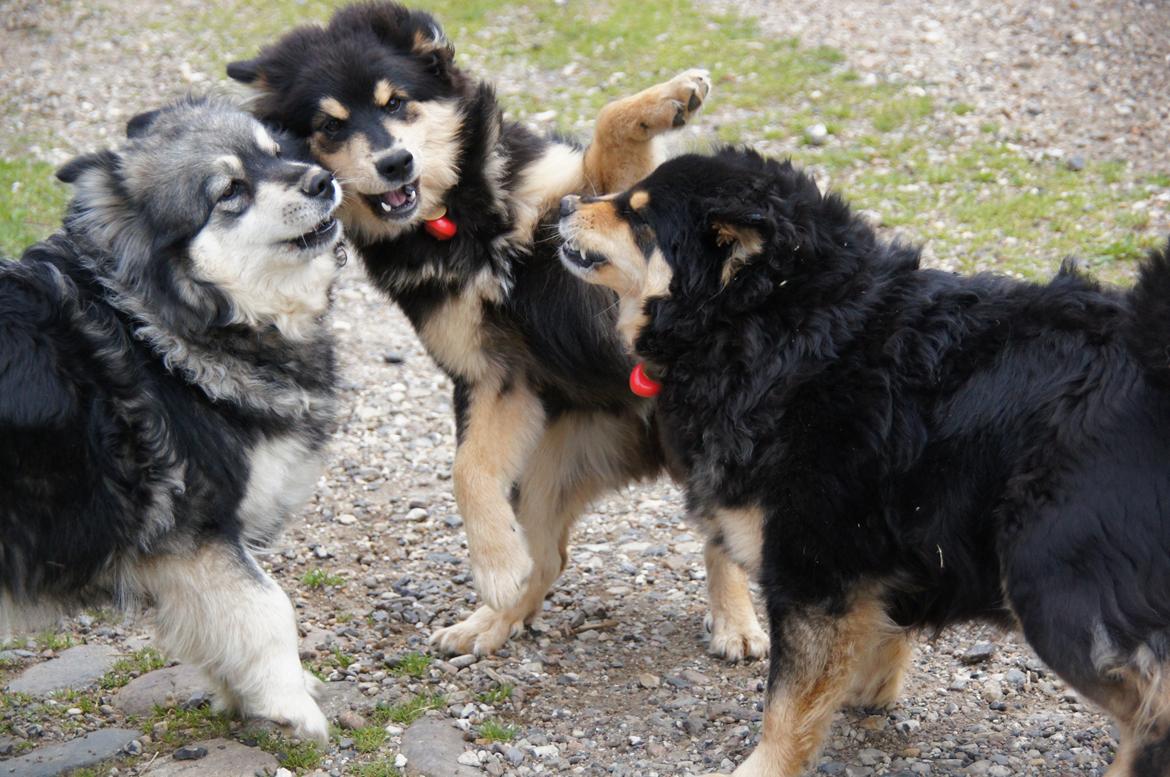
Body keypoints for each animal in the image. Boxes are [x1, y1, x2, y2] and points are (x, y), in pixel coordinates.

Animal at [225, 1, 767, 659]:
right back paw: (492, 619)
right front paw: (495, 568)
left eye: (396, 102)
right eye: (329, 126)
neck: (459, 221)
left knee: (722, 541)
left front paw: (673, 97)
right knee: (550, 556)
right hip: (546, 468)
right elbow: (467, 471)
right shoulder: (494, 376)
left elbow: (610, 132)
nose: (395, 163)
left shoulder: (591, 233)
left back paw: (735, 621)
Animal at [556, 147, 1170, 777]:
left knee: (1154, 714)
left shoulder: (814, 569)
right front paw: (861, 692)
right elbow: (865, 646)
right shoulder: (877, 558)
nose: (565, 204)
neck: (783, 326)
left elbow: (787, 700)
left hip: (1053, 584)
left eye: (640, 217)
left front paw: (767, 763)